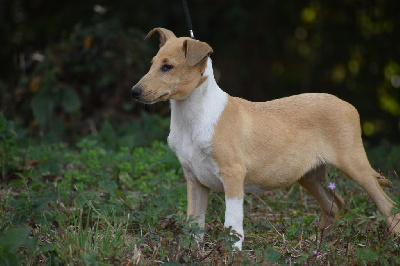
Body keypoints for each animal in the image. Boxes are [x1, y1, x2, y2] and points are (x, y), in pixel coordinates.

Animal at [132, 27, 400, 249]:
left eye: (168, 67)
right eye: (152, 64)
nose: (135, 92)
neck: (193, 117)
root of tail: (349, 106)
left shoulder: (233, 174)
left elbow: (232, 224)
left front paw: (232, 255)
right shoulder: (195, 180)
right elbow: (194, 226)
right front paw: (191, 254)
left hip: (354, 165)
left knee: (387, 205)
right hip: (309, 175)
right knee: (335, 204)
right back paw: (316, 245)